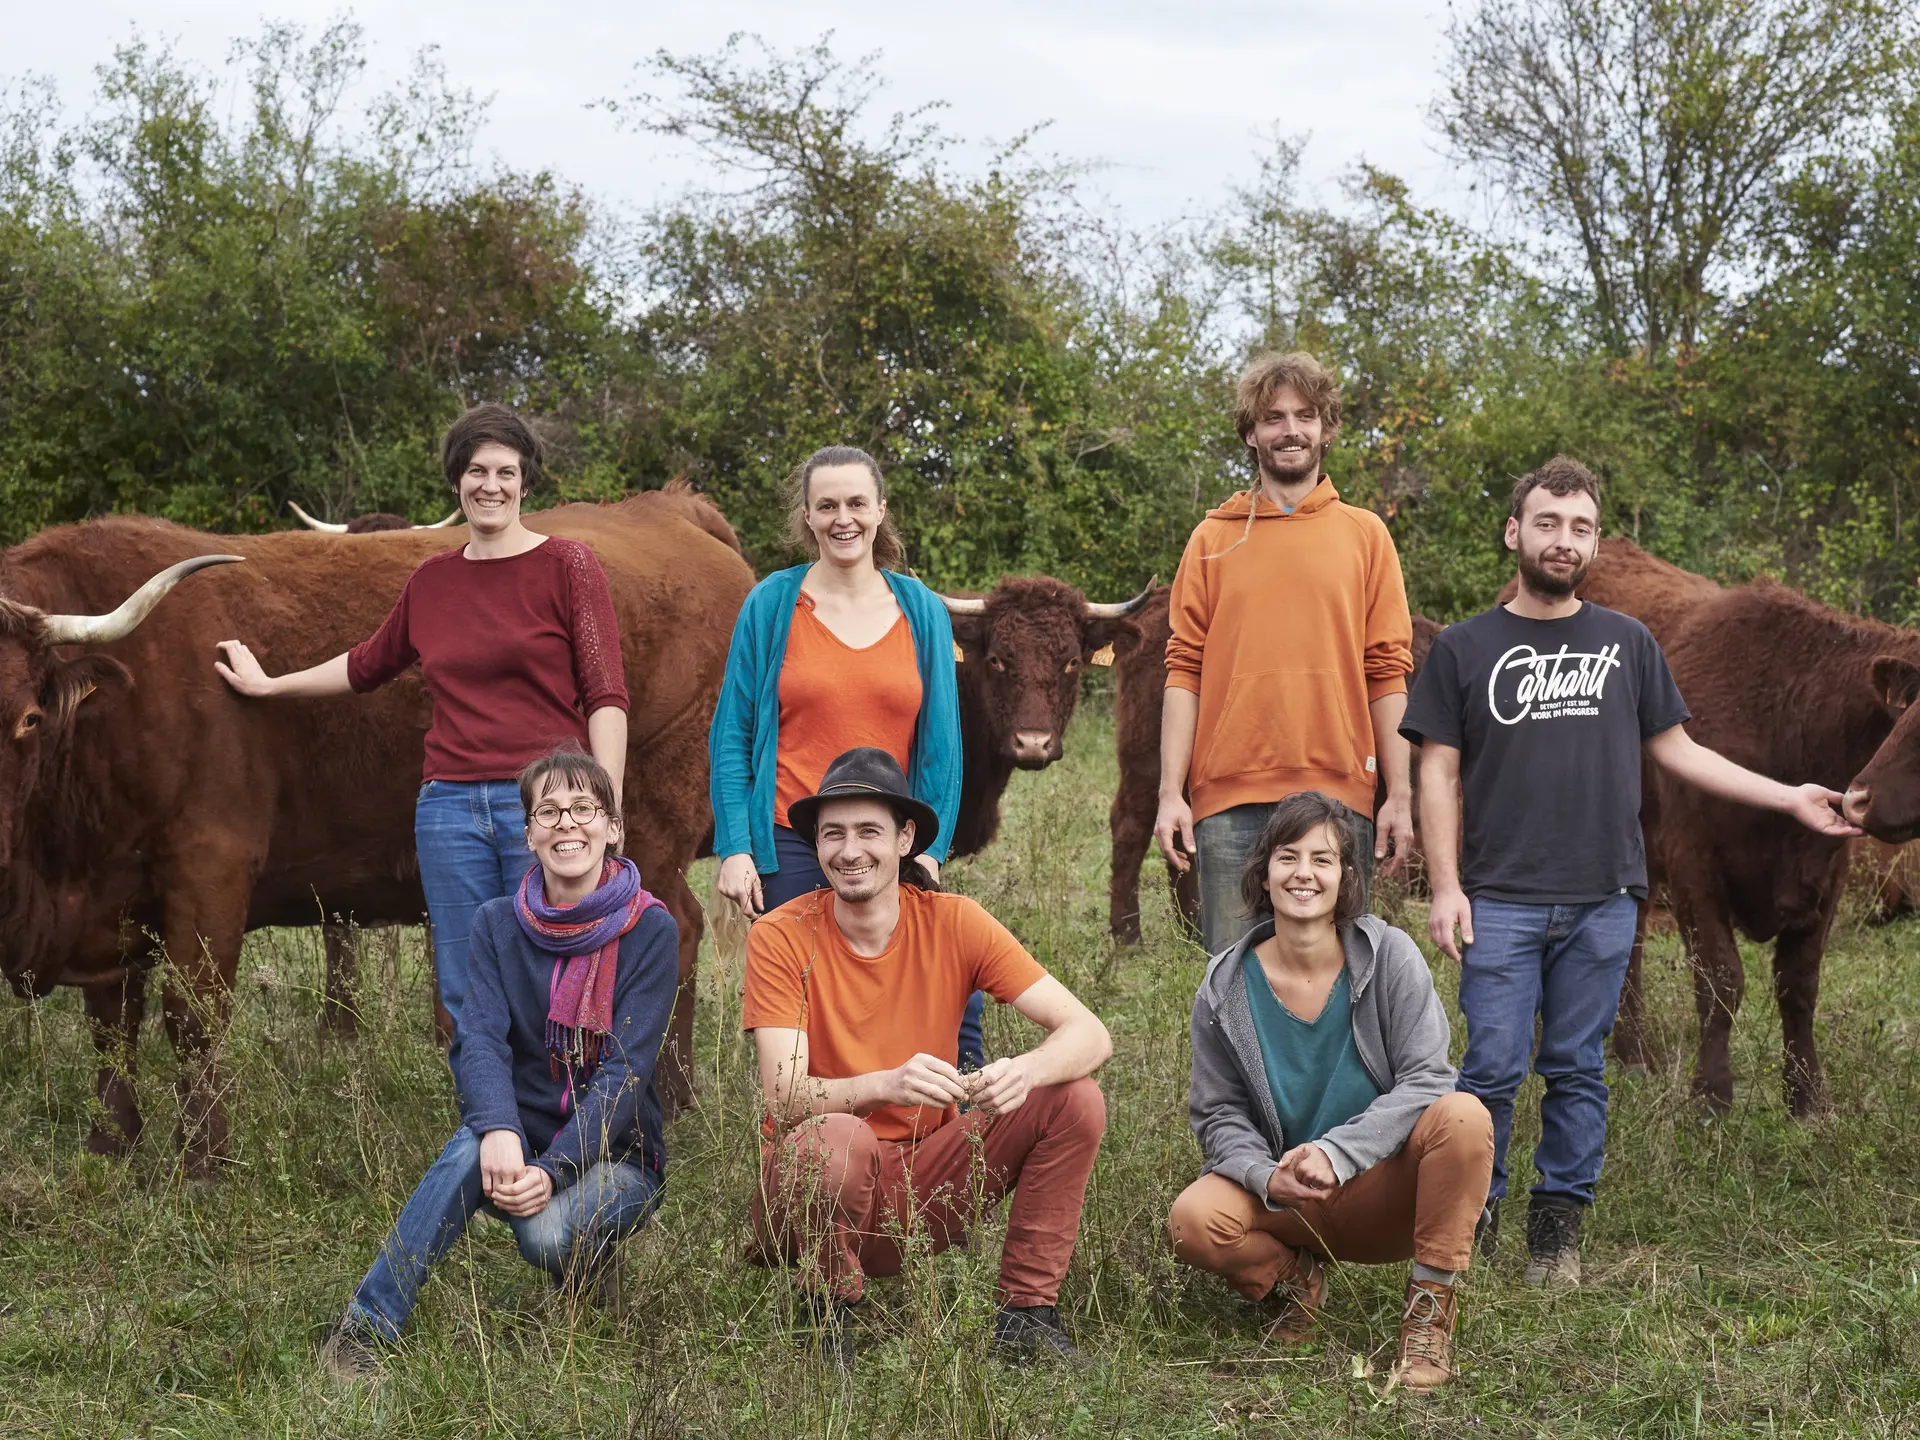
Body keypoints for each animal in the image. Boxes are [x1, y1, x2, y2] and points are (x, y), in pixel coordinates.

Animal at [0, 491, 748, 1175]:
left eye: (29, 717)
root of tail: (667, 507)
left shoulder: (207, 866)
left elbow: (192, 1013)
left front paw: (203, 1160)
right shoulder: (110, 895)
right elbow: (111, 1024)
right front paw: (111, 1146)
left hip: (650, 832)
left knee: (677, 933)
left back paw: (670, 1094)